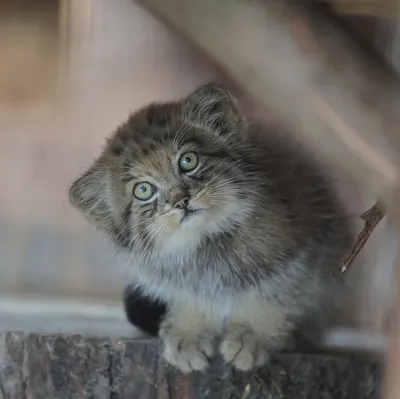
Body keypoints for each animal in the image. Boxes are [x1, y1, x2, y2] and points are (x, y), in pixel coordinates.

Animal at [69, 83, 354, 376]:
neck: (206, 242)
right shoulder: (177, 280)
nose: (181, 201)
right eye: (144, 190)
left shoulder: (301, 252)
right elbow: (193, 299)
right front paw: (189, 330)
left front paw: (252, 333)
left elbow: (273, 295)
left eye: (188, 161)